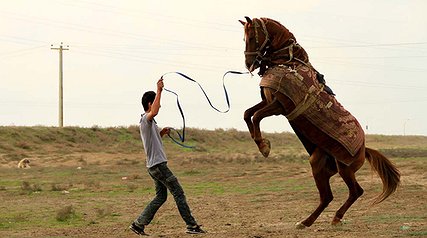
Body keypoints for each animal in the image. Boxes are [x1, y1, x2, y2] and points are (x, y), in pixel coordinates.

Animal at [241, 16, 402, 229]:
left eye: (252, 37)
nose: (249, 64)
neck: (288, 61)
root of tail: (363, 150)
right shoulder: (269, 101)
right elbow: (247, 114)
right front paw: (260, 143)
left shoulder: (279, 106)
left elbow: (257, 116)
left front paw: (264, 146)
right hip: (319, 164)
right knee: (327, 196)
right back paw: (307, 221)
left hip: (344, 168)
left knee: (354, 192)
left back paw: (330, 218)